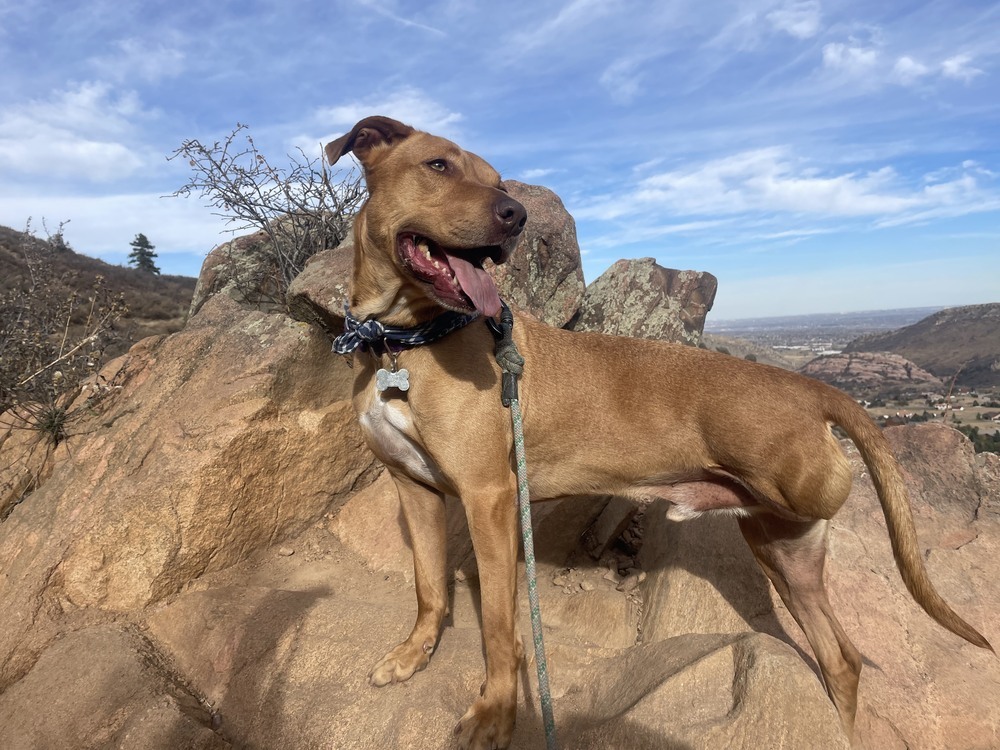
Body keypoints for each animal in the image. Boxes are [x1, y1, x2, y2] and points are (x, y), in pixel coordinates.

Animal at [326, 117, 992, 750]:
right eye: (437, 165)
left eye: (497, 181)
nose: (514, 215)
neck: (402, 340)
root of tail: (808, 388)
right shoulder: (414, 488)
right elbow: (428, 587)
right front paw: (412, 655)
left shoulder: (490, 498)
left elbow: (495, 624)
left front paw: (494, 715)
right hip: (785, 551)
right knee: (842, 658)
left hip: (789, 514)